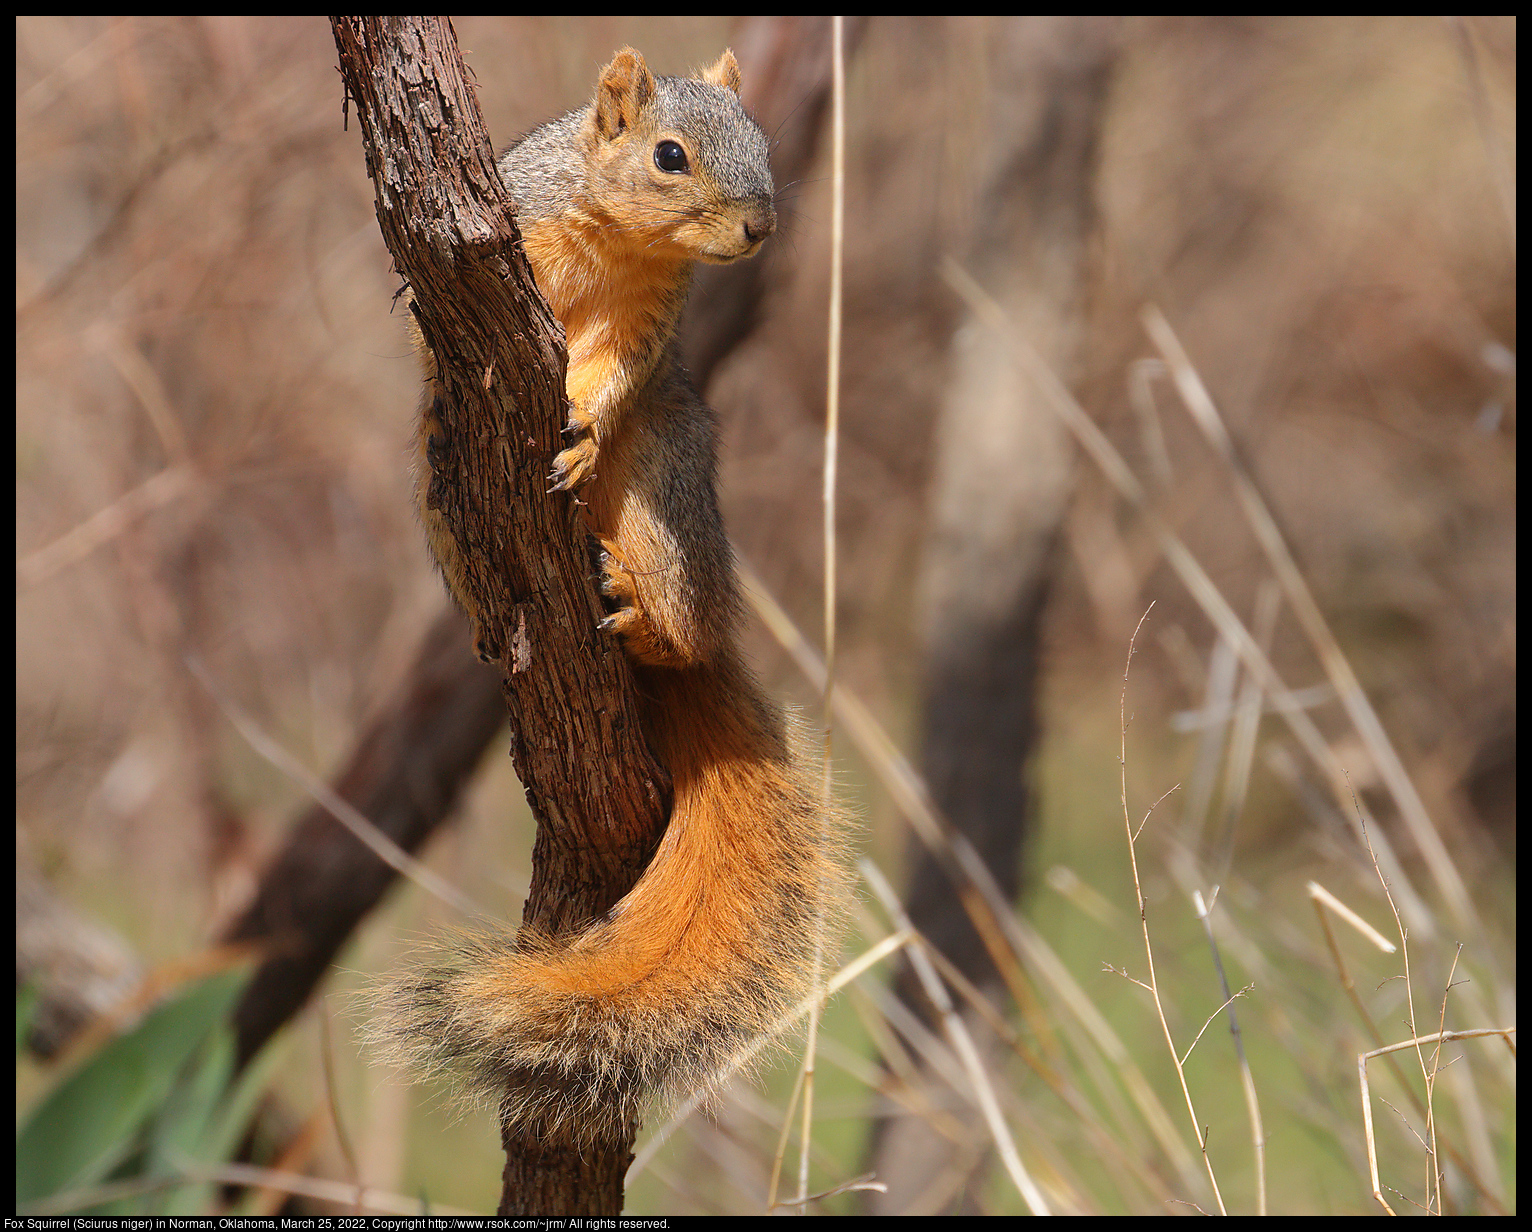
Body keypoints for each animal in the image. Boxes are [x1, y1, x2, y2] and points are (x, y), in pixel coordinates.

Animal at [379, 50, 851, 1146]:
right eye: (669, 155)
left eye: (761, 140)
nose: (759, 227)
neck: (618, 237)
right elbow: (431, 339)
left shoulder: (650, 322)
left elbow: (613, 374)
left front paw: (583, 424)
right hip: (440, 507)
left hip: (663, 488)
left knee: (675, 619)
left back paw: (641, 612)